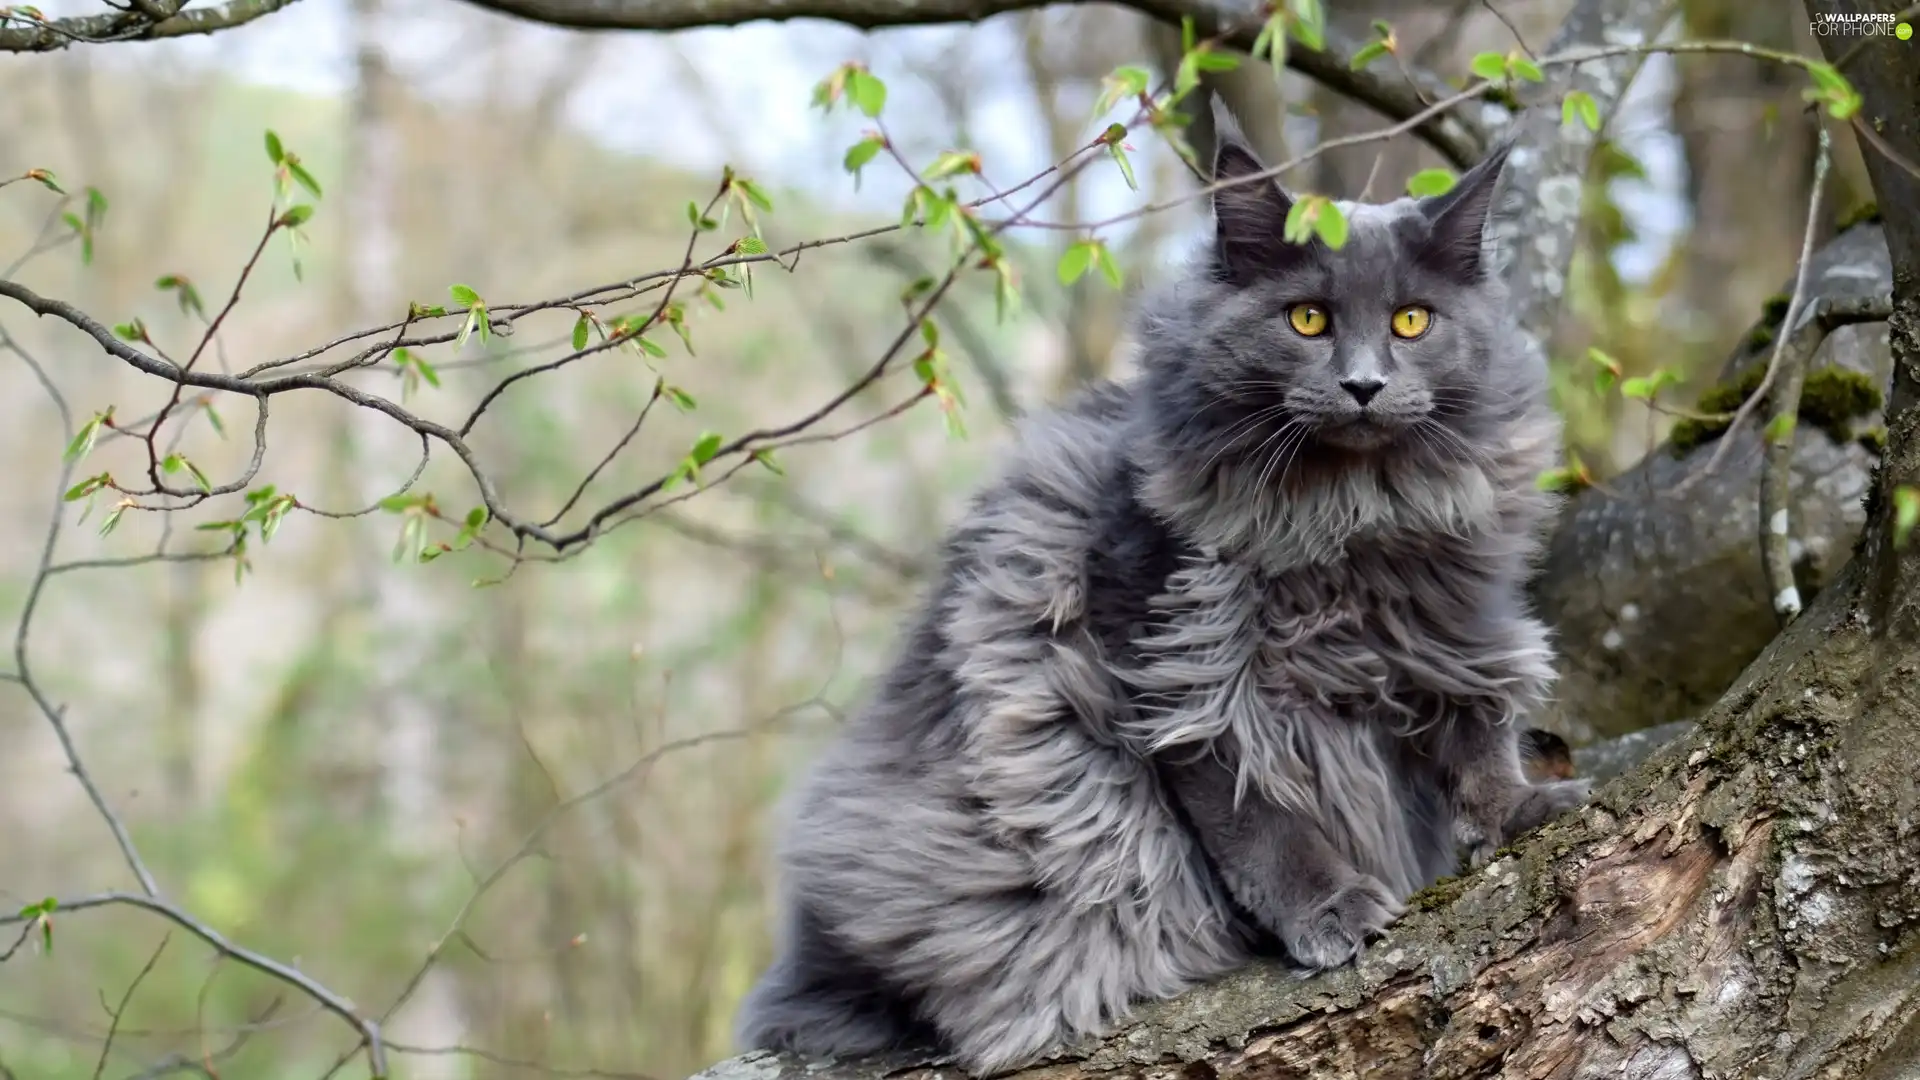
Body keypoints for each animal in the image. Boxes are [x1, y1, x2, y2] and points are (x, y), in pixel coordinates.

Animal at [733, 115, 1589, 1068]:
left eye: (1412, 320)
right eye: (1307, 318)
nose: (1364, 384)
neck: (1350, 521)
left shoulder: (1451, 632)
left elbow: (1479, 739)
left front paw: (1521, 810)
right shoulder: (1183, 676)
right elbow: (1262, 821)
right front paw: (1328, 909)